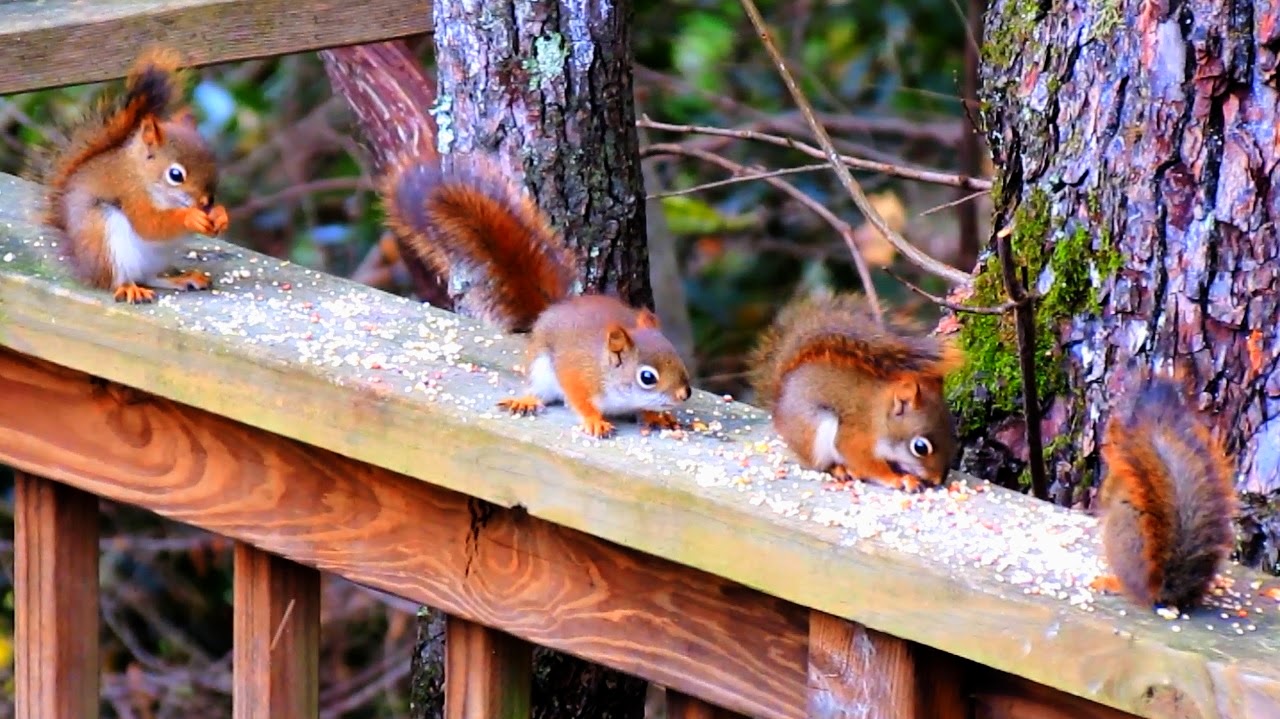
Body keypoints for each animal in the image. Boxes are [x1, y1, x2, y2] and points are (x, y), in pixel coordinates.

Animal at [32, 47, 229, 304]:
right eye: (175, 175)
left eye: (213, 160)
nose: (207, 202)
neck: (143, 175)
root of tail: (85, 266)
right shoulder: (130, 193)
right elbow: (149, 224)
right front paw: (191, 217)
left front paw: (220, 215)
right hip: (105, 241)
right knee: (117, 280)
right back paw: (129, 288)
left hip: (157, 258)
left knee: (151, 277)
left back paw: (183, 279)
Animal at [380, 154, 693, 438]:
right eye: (647, 377)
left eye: (675, 356)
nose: (684, 393)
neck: (610, 375)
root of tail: (555, 309)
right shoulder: (576, 374)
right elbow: (579, 399)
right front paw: (594, 420)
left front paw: (656, 416)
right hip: (541, 369)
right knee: (538, 390)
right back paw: (526, 400)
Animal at [748, 292, 963, 492]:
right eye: (920, 447)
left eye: (954, 436)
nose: (938, 480)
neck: (880, 419)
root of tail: (779, 400)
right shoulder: (855, 437)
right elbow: (865, 462)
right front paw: (896, 479)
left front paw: (908, 478)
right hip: (812, 432)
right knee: (820, 464)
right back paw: (841, 469)